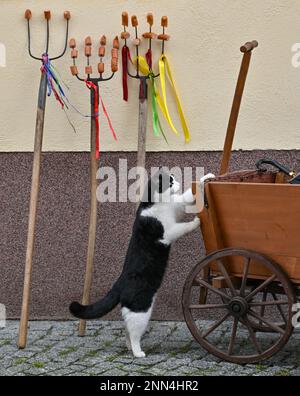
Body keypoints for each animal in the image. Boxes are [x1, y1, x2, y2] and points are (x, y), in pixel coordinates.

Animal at [70, 169, 213, 358]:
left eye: (174, 179)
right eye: (170, 182)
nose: (178, 183)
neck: (154, 204)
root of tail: (119, 283)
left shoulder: (177, 206)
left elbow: (187, 196)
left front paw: (206, 178)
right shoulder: (167, 232)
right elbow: (182, 227)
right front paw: (196, 222)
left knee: (127, 330)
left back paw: (129, 348)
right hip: (141, 310)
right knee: (134, 332)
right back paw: (138, 352)